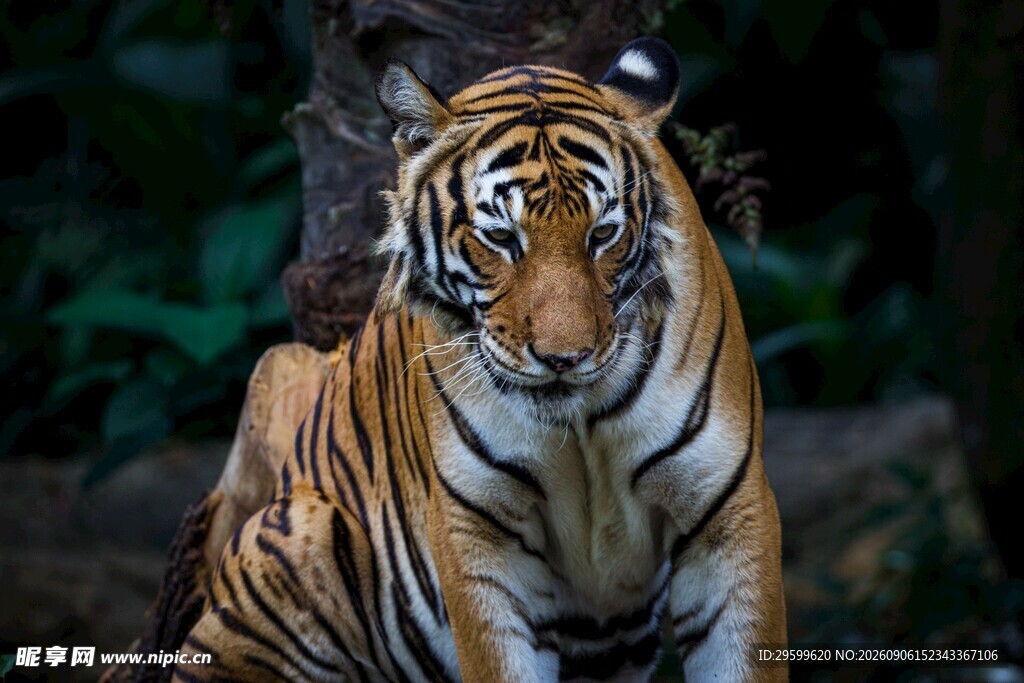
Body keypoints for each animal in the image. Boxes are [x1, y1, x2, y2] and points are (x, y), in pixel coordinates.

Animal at [173, 37, 787, 683]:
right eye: (501, 238)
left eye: (602, 234)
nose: (565, 357)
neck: (581, 427)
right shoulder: (480, 535)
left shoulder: (726, 509)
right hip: (295, 539)